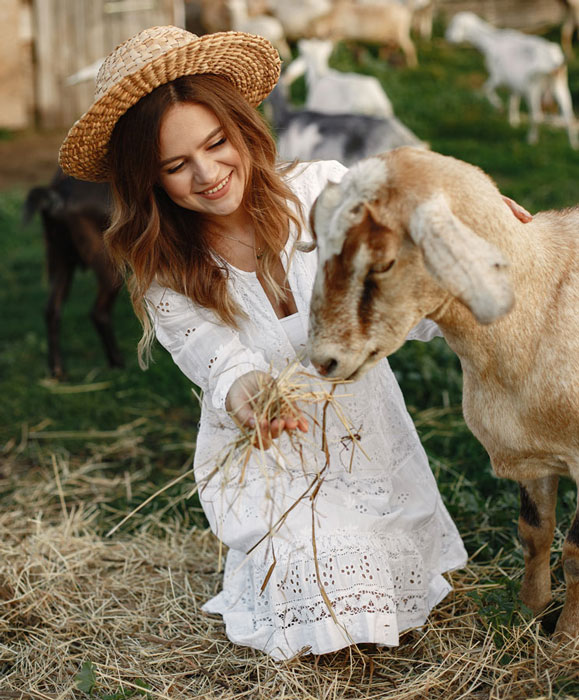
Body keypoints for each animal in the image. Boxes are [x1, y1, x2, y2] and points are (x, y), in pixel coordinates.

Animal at [23, 168, 123, 378]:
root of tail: (60, 193)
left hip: (60, 257)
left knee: (52, 309)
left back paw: (58, 372)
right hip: (108, 265)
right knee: (98, 312)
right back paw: (118, 364)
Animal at [306, 146, 576, 640]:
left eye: (384, 262)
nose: (323, 360)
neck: (542, 301)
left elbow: (573, 552)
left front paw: (565, 639)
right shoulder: (533, 455)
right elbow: (534, 533)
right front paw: (529, 613)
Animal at [446, 10, 576, 149]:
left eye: (453, 24)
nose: (447, 37)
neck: (491, 42)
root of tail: (554, 61)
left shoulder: (497, 76)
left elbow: (486, 89)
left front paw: (498, 106)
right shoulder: (514, 85)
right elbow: (513, 101)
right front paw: (513, 122)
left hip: (533, 88)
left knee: (537, 116)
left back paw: (531, 140)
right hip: (560, 86)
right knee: (569, 117)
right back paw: (573, 145)